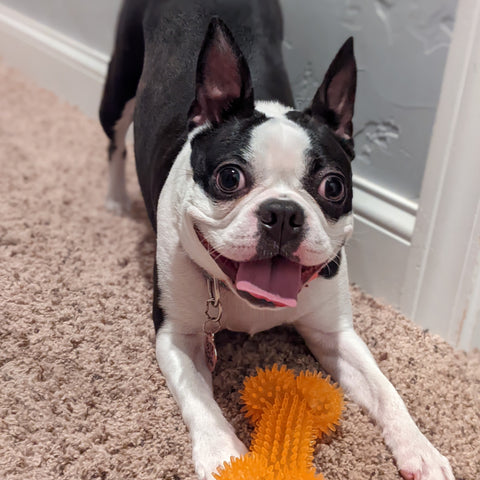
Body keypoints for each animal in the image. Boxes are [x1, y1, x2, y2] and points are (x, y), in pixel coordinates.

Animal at [98, 0, 454, 480]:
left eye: (333, 187)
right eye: (229, 177)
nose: (283, 214)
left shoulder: (334, 332)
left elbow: (385, 389)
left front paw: (420, 448)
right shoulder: (177, 336)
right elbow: (201, 402)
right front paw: (224, 457)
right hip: (119, 82)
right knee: (114, 143)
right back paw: (116, 199)